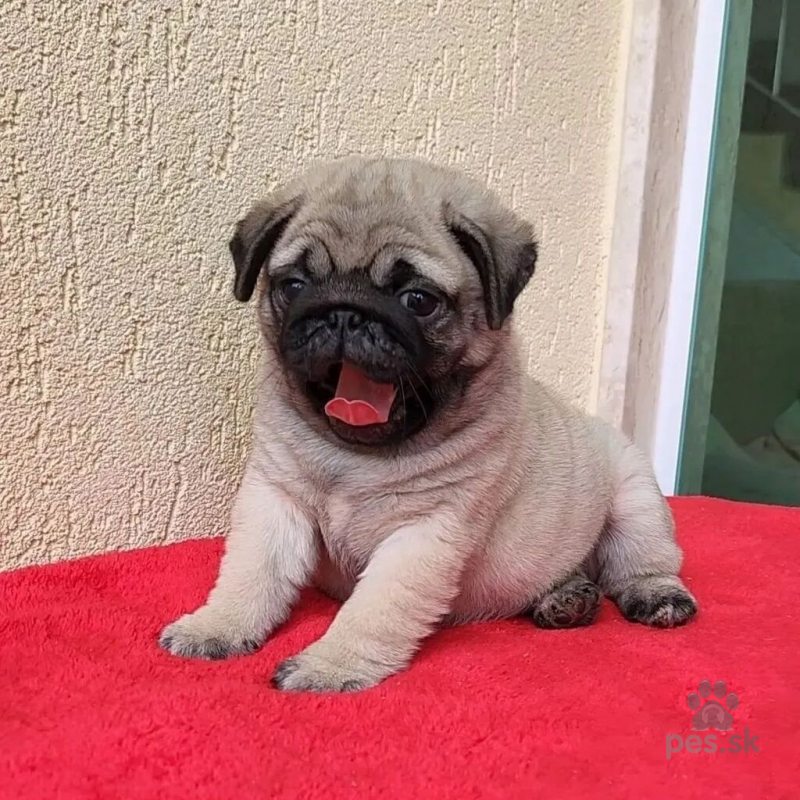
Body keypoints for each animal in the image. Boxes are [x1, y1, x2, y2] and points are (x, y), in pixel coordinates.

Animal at [159, 156, 697, 692]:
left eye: (417, 300)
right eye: (294, 286)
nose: (343, 313)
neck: (356, 454)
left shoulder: (424, 533)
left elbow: (375, 608)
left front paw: (331, 664)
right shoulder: (276, 501)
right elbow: (252, 572)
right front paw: (217, 626)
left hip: (634, 497)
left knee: (643, 561)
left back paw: (654, 596)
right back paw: (567, 597)